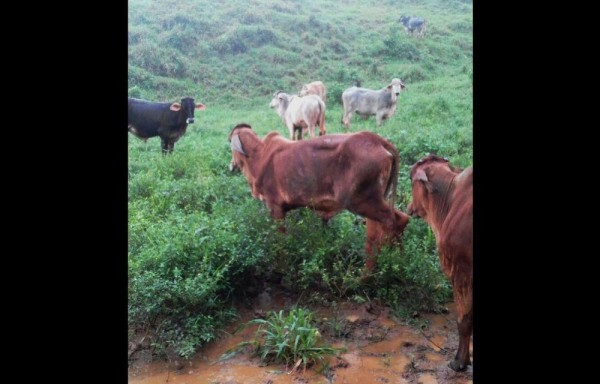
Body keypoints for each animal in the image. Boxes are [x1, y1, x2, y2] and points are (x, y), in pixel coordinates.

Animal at [227, 124, 410, 272]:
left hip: (362, 202)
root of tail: (377, 140)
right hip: (375, 200)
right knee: (388, 225)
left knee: (392, 221)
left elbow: (281, 241)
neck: (258, 156)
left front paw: (280, 268)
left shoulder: (275, 207)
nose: (231, 166)